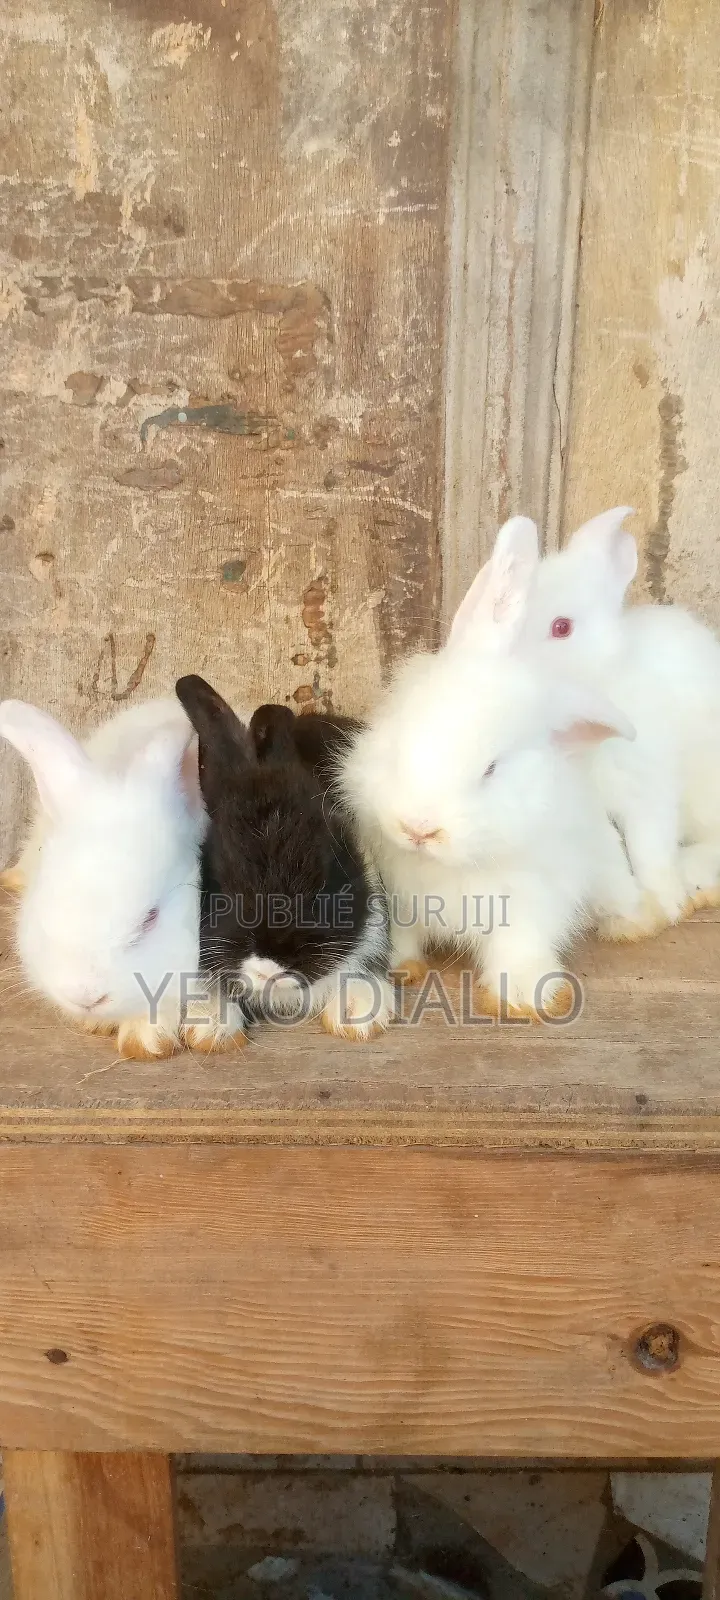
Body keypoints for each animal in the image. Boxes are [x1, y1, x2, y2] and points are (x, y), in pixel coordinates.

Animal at [338, 517, 640, 1018]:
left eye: (491, 769)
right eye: (400, 737)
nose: (418, 828)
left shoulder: (531, 900)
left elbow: (519, 946)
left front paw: (525, 996)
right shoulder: (399, 894)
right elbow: (404, 937)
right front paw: (402, 968)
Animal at [512, 505, 720, 933]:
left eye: (562, 627)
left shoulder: (647, 784)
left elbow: (649, 847)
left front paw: (668, 905)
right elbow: (609, 859)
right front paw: (627, 912)